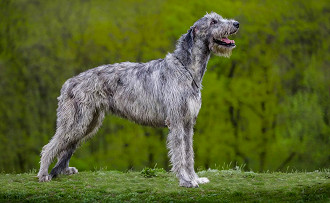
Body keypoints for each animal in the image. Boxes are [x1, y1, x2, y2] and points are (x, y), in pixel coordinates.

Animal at [38, 11, 240, 188]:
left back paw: (62, 171)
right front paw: (185, 181)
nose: (237, 24)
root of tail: (68, 83)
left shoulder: (188, 122)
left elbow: (189, 153)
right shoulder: (176, 121)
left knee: (67, 146)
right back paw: (43, 174)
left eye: (219, 18)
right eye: (213, 22)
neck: (186, 69)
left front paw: (195, 178)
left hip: (89, 123)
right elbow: (179, 154)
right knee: (50, 146)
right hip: (77, 121)